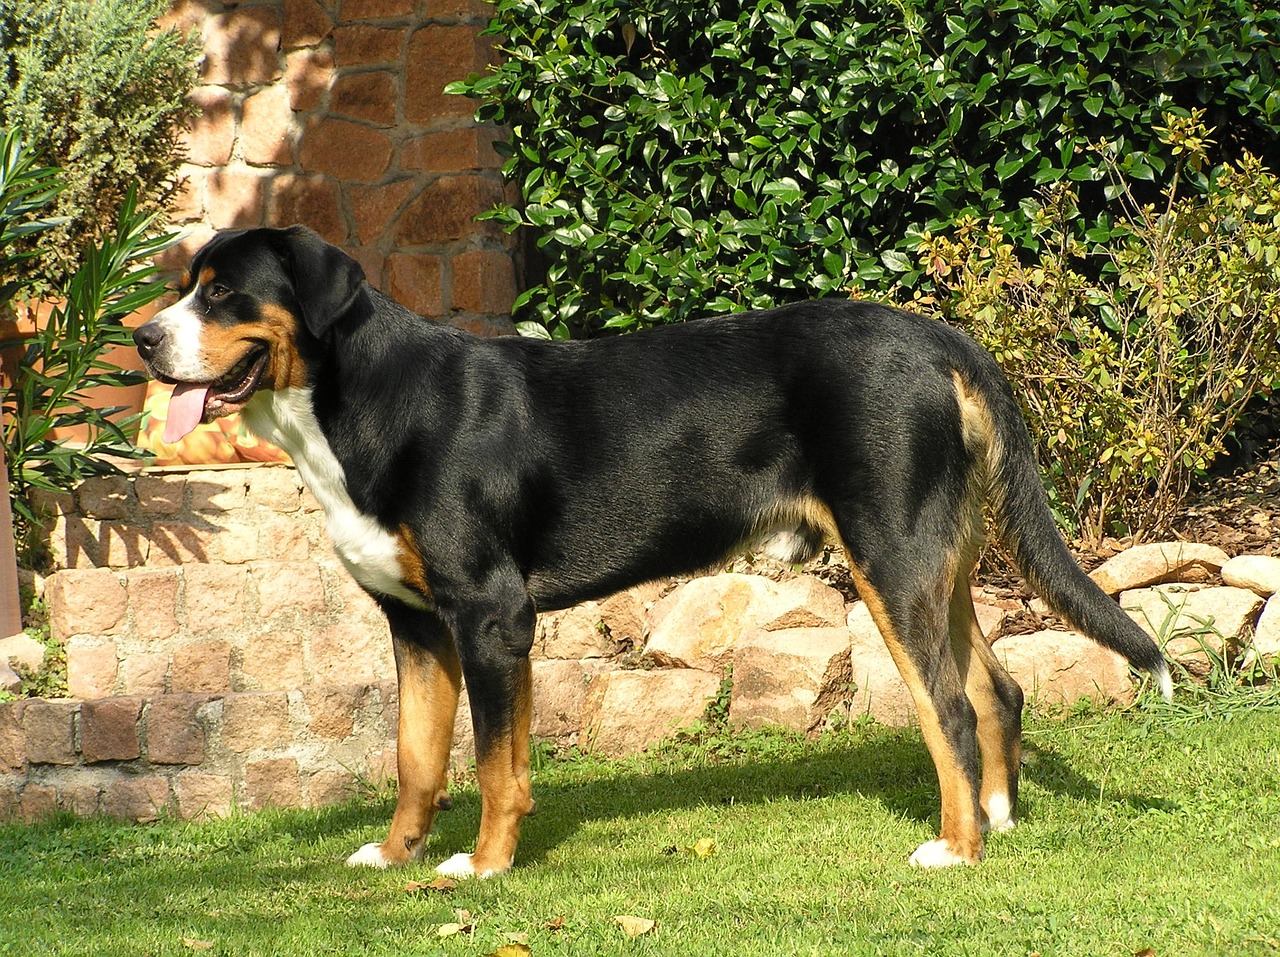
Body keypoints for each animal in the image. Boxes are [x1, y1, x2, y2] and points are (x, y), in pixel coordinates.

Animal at [132, 223, 1172, 875]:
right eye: (185, 286)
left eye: (224, 293)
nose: (142, 338)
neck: (364, 404)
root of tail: (938, 337)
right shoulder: (417, 624)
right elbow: (416, 759)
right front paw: (394, 855)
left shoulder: (491, 614)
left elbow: (496, 766)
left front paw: (484, 864)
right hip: (935, 561)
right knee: (997, 690)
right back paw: (995, 820)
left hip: (893, 555)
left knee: (947, 708)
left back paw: (954, 850)